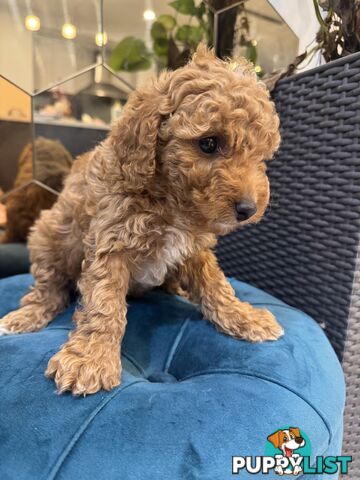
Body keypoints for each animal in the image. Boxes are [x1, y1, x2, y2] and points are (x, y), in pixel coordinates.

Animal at [0, 47, 282, 396]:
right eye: (208, 143)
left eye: (260, 155)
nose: (248, 209)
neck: (170, 199)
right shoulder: (111, 243)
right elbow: (104, 304)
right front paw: (90, 358)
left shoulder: (194, 247)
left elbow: (215, 284)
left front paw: (243, 317)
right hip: (48, 235)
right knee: (48, 287)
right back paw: (25, 316)